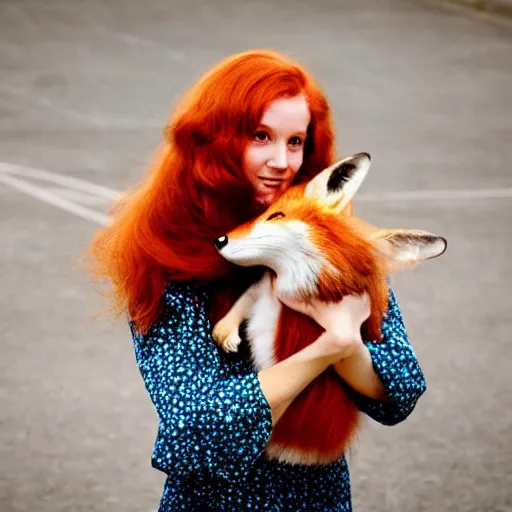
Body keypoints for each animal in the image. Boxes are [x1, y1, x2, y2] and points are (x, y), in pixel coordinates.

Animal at [210, 151, 446, 464]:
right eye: (268, 210)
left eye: (276, 215)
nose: (220, 239)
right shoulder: (269, 288)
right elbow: (247, 298)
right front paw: (225, 332)